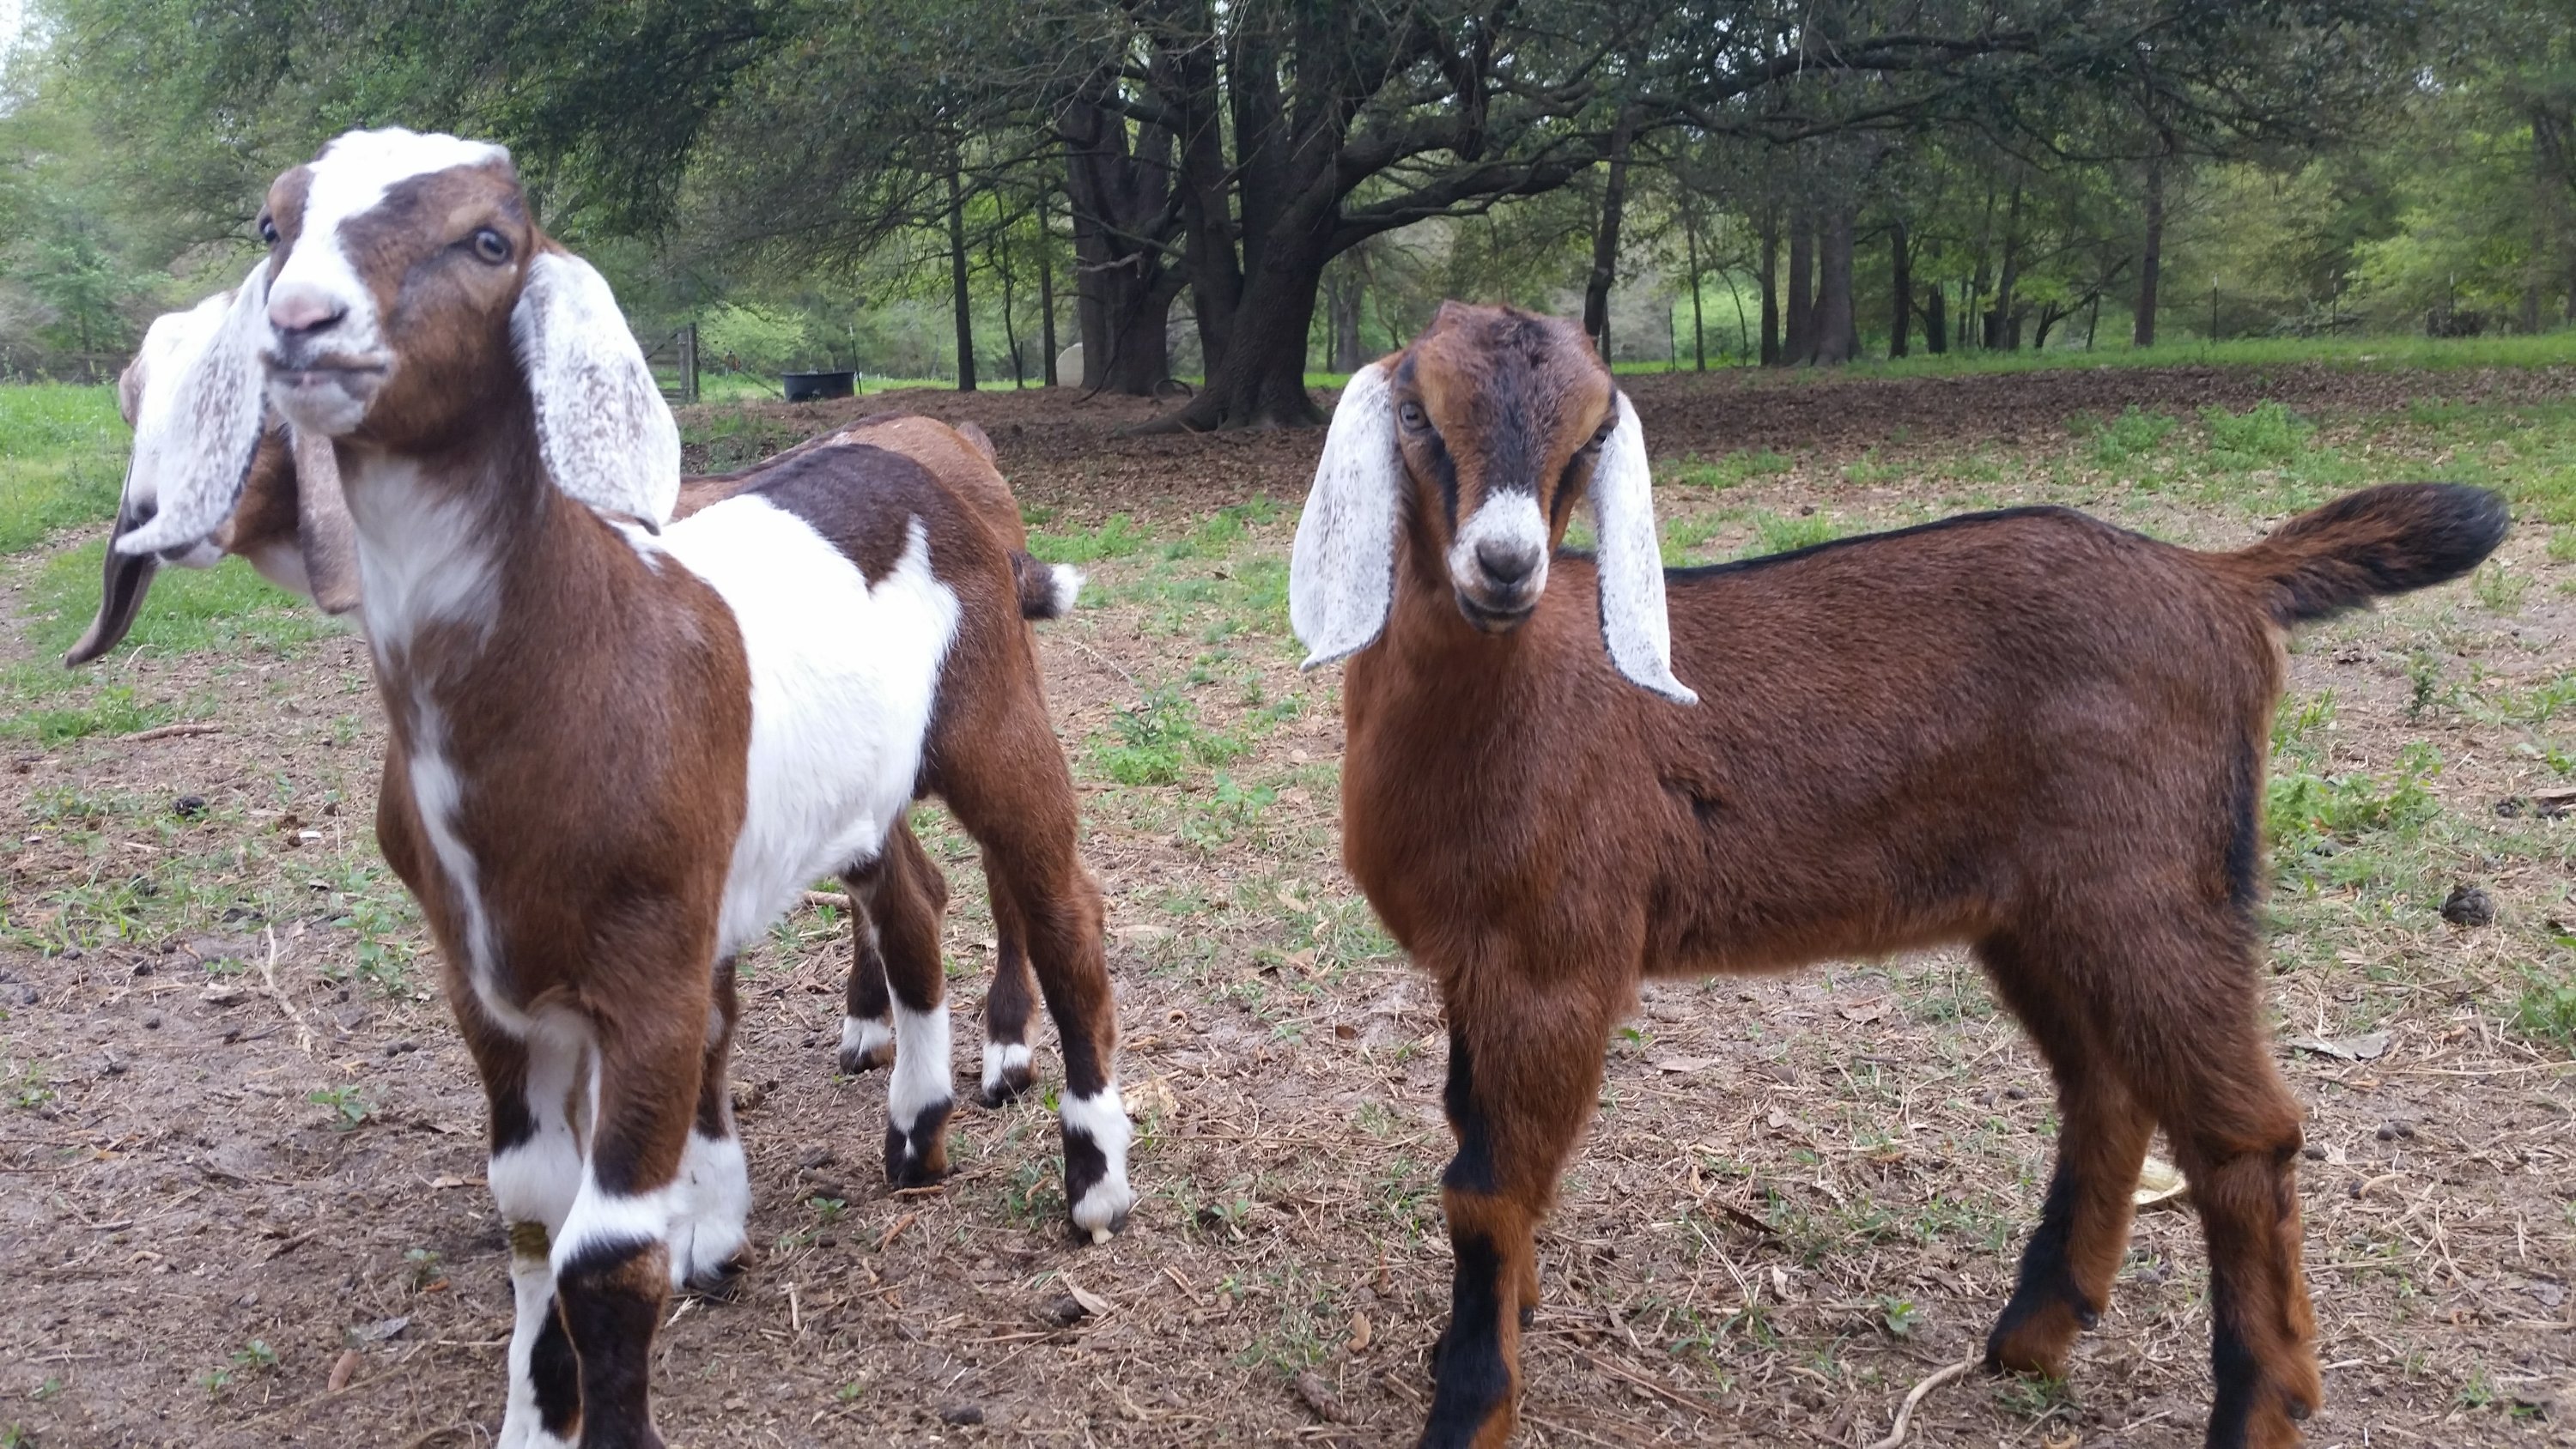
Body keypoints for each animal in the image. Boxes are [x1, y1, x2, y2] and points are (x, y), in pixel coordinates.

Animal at [1287, 302, 2508, 1449]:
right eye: (1417, 412)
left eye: (1592, 433)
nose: (1505, 566)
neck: (1511, 701)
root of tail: (2224, 581)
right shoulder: (1472, 957)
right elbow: (1478, 1136)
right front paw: (1514, 1315)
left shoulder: (1557, 957)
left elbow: (1485, 1188)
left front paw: (1468, 1404)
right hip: (2043, 911)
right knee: (2107, 1088)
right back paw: (2036, 1330)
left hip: (2157, 886)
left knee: (2246, 1135)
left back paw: (2256, 1407)